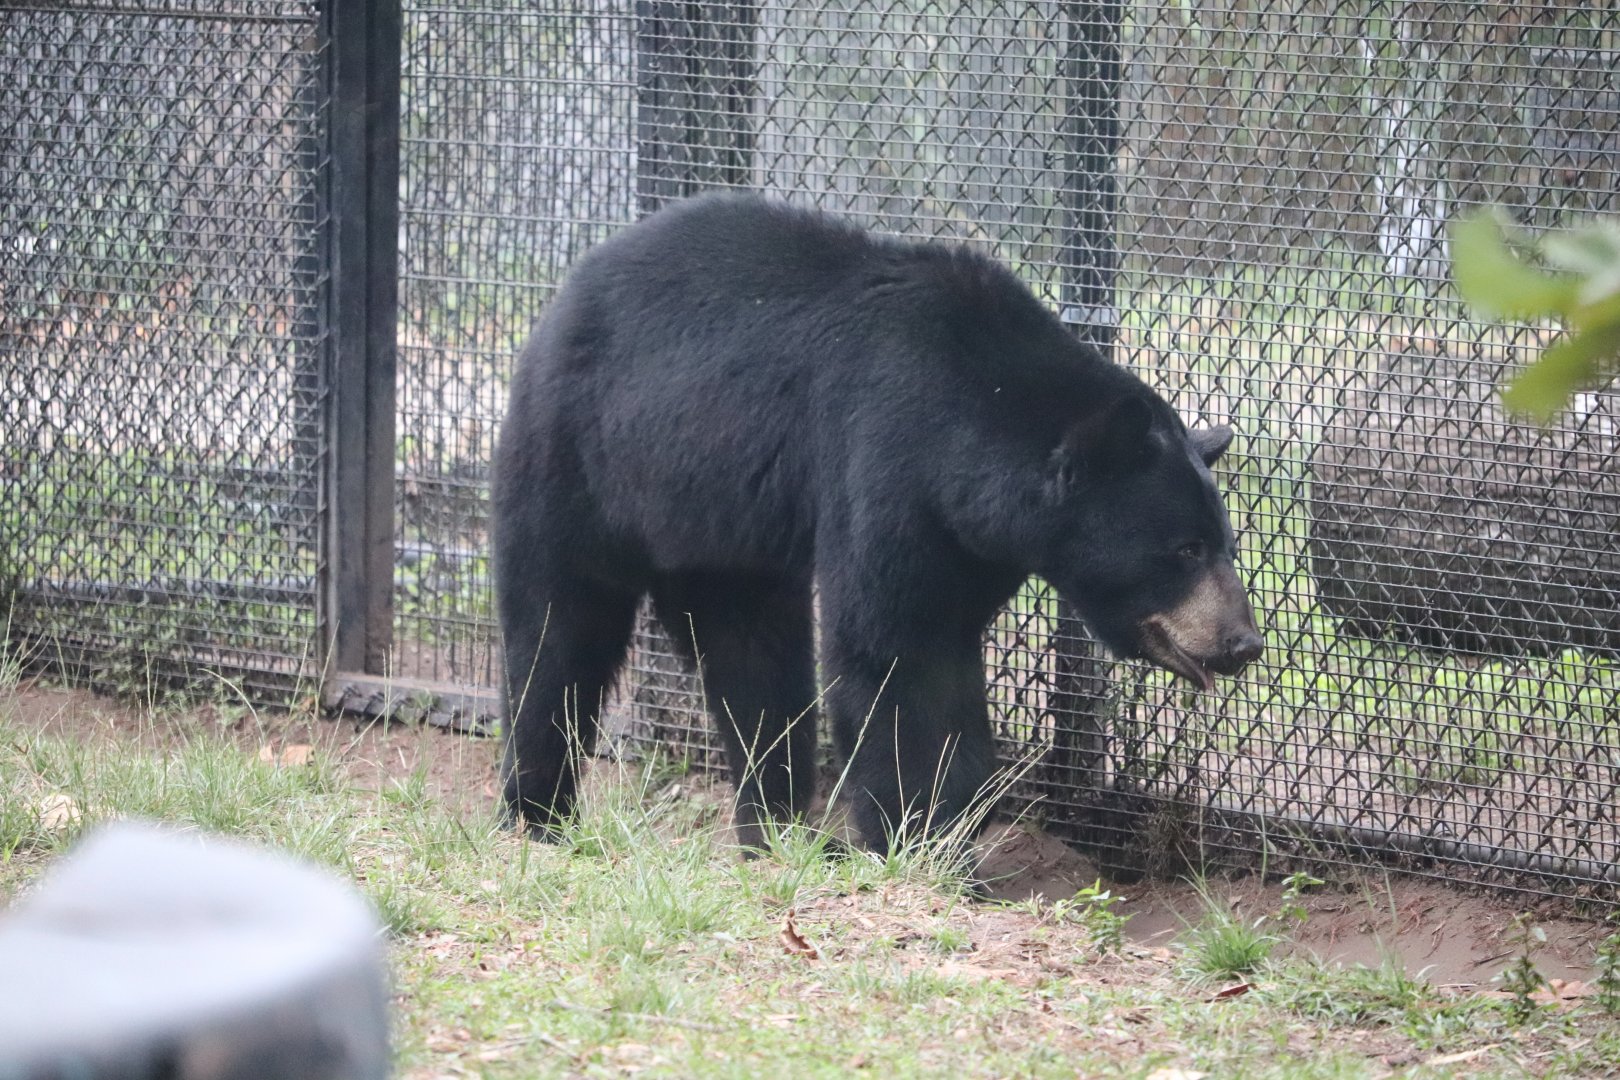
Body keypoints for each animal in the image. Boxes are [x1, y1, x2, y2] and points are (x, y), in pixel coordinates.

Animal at [492, 191, 1262, 852]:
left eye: (1224, 544)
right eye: (1185, 549)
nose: (1243, 641)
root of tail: (562, 298)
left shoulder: (969, 544)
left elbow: (944, 649)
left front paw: (956, 822)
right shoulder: (887, 454)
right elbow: (892, 650)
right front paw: (916, 833)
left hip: (719, 527)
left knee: (754, 657)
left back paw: (773, 826)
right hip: (581, 458)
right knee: (559, 630)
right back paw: (538, 813)